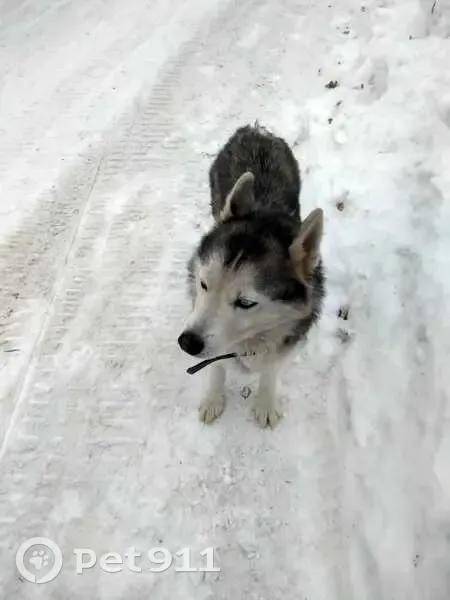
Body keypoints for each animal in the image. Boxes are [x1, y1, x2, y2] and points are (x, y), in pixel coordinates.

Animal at [178, 124, 325, 428]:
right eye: (204, 284)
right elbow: (217, 367)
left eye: (246, 303)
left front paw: (266, 401)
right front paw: (213, 398)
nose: (188, 343)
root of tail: (254, 129)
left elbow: (271, 369)